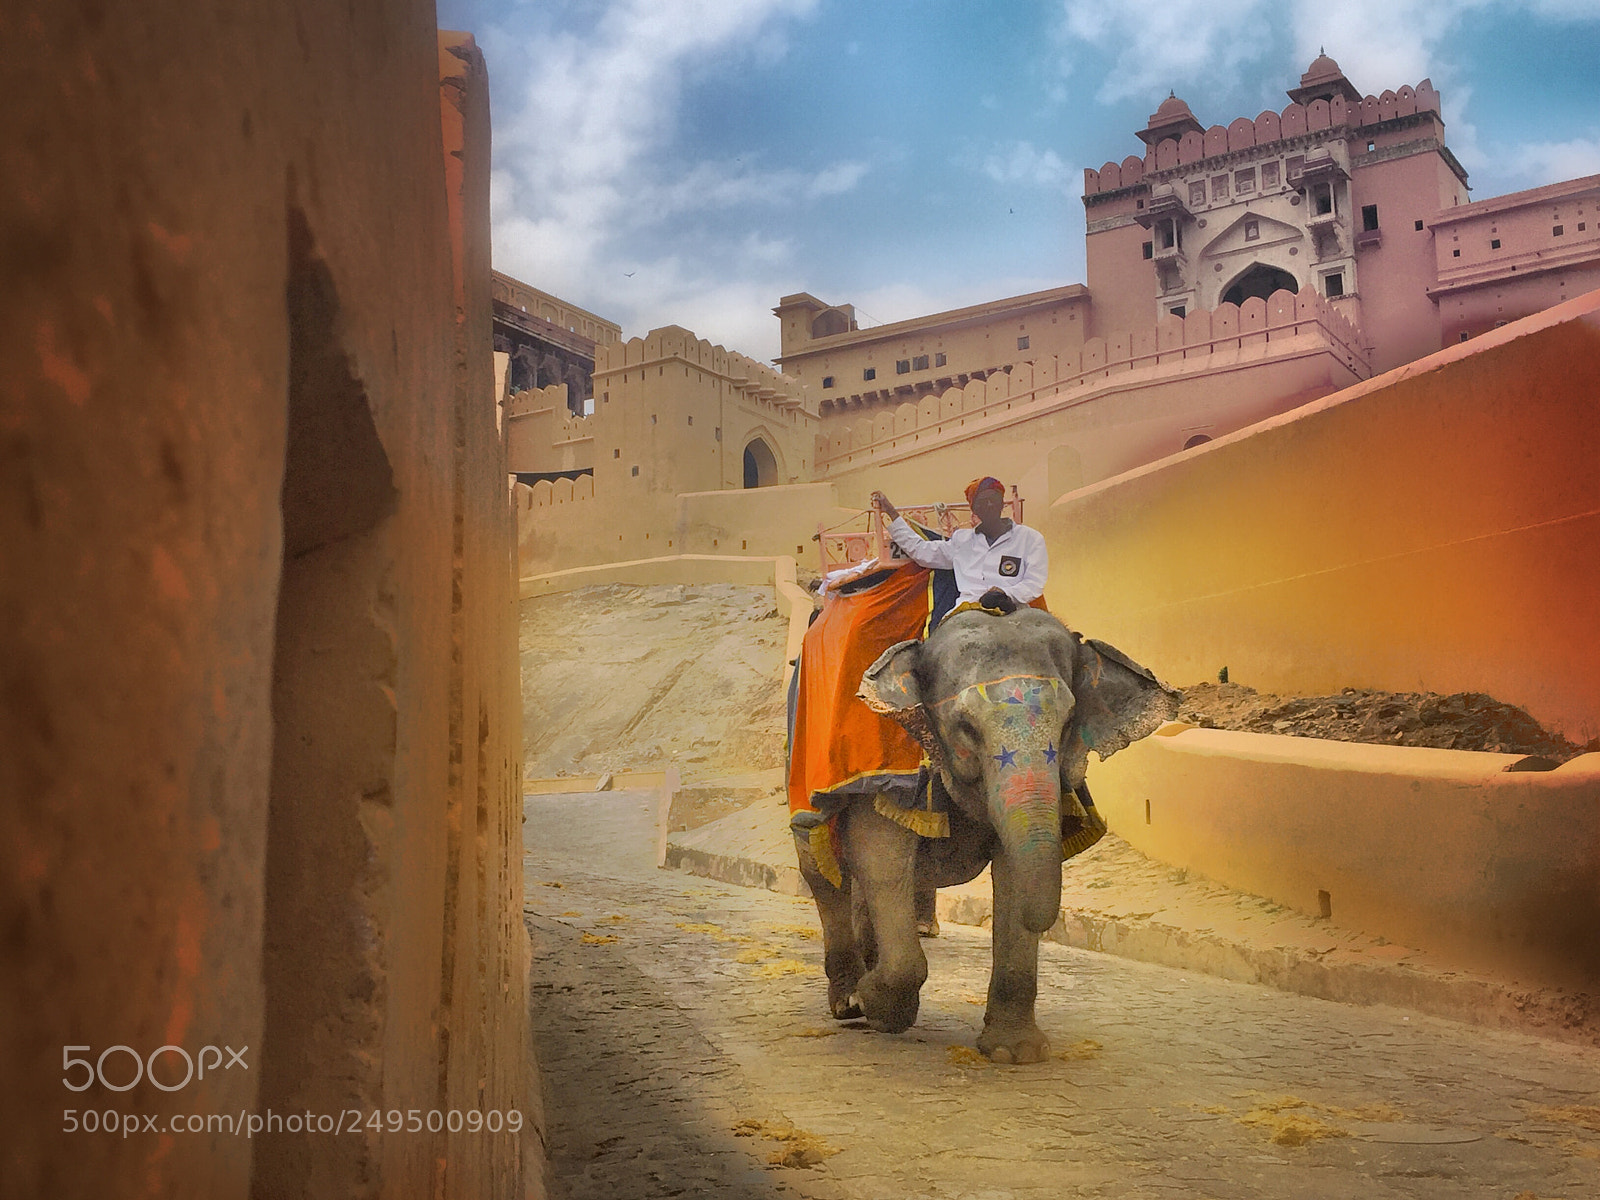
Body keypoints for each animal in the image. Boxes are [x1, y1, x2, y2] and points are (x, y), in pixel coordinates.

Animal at [793, 605, 1178, 1063]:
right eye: (966, 727)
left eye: (1069, 723)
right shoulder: (891, 759)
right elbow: (882, 859)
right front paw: (881, 1010)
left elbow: (1012, 877)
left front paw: (1016, 1053)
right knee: (823, 872)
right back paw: (849, 1003)